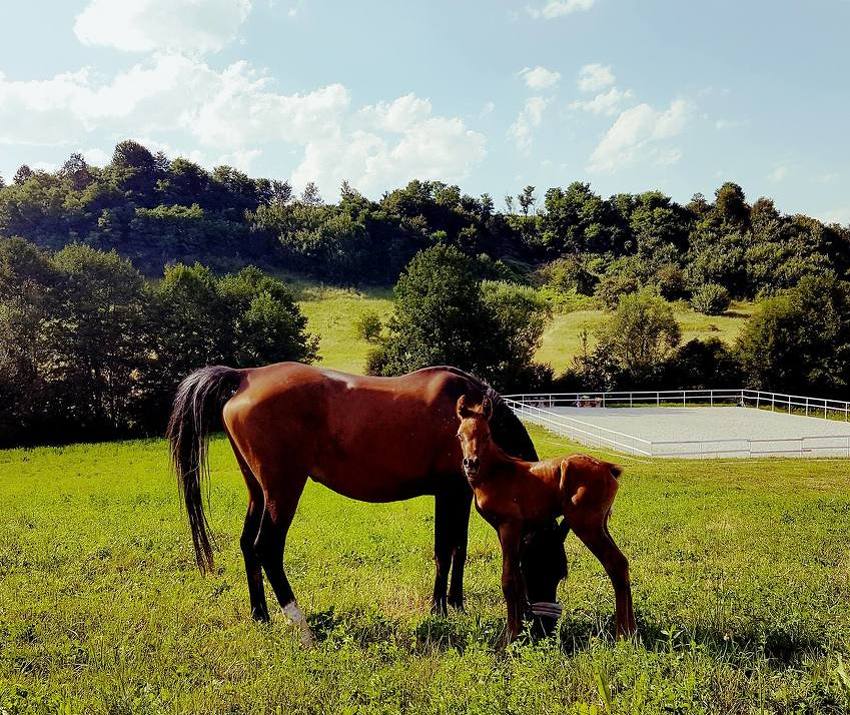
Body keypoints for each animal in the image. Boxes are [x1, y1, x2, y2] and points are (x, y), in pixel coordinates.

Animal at [168, 364, 548, 644]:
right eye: (548, 563)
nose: (540, 625)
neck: (467, 421)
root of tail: (245, 375)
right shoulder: (448, 492)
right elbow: (444, 549)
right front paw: (439, 609)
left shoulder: (461, 494)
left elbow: (459, 547)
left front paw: (456, 604)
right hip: (282, 490)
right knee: (267, 548)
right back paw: (303, 628)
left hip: (258, 491)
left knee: (248, 545)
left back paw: (261, 616)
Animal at [454, 398, 632, 644]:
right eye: (459, 435)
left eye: (487, 434)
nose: (470, 463)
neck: (497, 473)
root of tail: (608, 468)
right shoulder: (509, 531)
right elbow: (519, 578)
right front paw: (520, 632)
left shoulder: (509, 525)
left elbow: (509, 579)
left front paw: (508, 638)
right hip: (601, 525)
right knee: (623, 564)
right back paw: (632, 631)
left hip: (586, 525)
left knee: (614, 564)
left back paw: (622, 634)